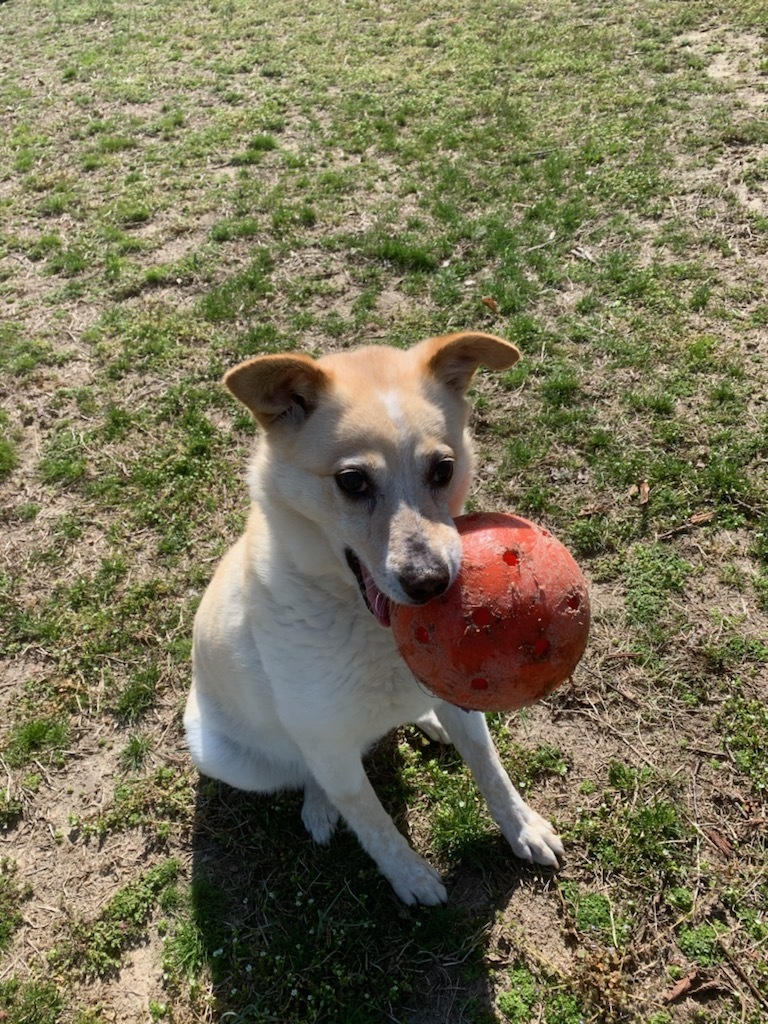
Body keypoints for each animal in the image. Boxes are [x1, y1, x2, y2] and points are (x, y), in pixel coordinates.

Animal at [185, 333, 565, 905]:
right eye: (352, 481)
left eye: (443, 469)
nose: (430, 583)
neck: (370, 631)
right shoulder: (328, 746)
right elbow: (372, 820)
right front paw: (410, 878)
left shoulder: (464, 696)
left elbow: (489, 766)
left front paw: (523, 827)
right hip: (223, 754)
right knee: (306, 773)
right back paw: (319, 807)